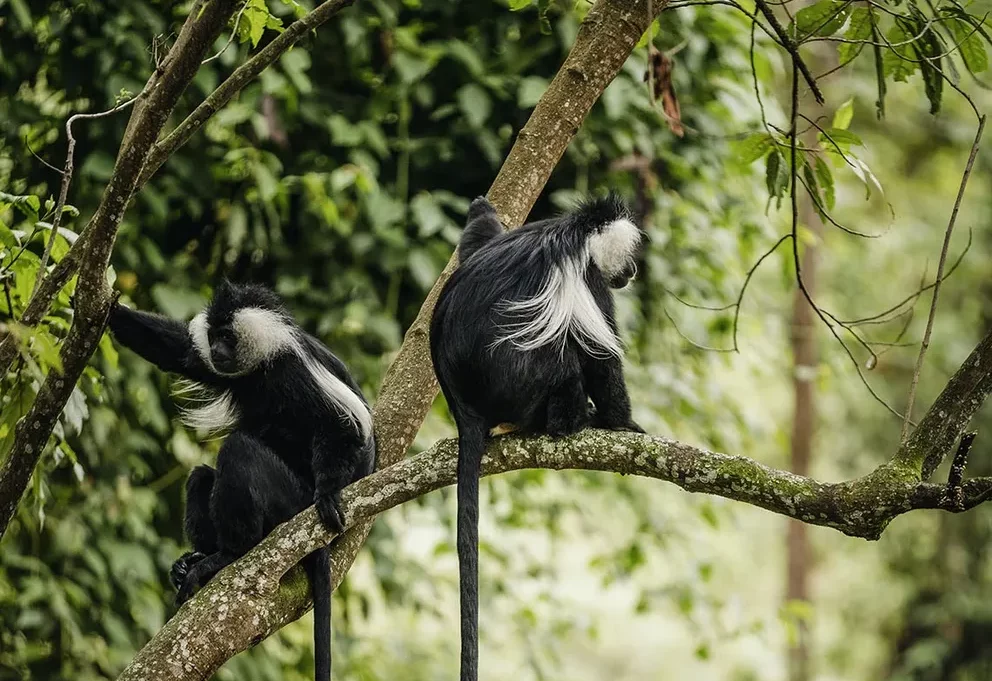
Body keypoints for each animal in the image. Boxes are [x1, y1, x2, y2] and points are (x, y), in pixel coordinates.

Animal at [106, 280, 374, 680]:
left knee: (240, 450)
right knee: (201, 477)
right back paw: (199, 558)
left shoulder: (296, 372)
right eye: (213, 336)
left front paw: (328, 496)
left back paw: (230, 555)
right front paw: (108, 308)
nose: (217, 351)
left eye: (228, 337)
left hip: (290, 502)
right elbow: (182, 353)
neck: (262, 364)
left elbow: (338, 427)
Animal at [430, 193, 648, 680]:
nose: (632, 271)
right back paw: (570, 420)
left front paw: (482, 209)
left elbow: (477, 241)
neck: (576, 233)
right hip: (520, 385)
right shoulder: (587, 280)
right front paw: (622, 422)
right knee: (560, 356)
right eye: (630, 255)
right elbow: (600, 356)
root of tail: (464, 408)